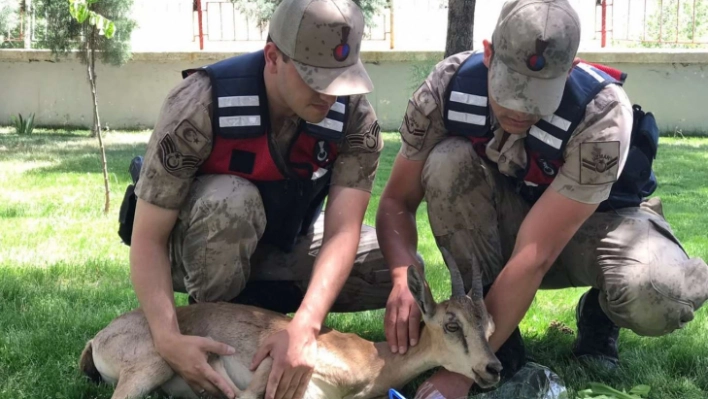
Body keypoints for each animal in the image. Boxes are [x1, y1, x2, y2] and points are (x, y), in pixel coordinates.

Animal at [80, 252, 500, 398]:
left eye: (490, 327)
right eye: (451, 324)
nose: (492, 368)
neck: (370, 361)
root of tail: (97, 338)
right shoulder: (264, 378)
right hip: (151, 367)